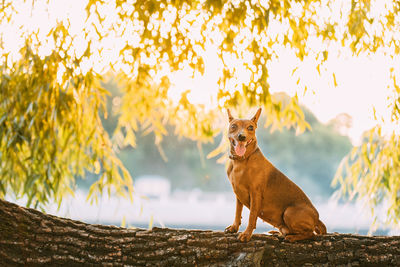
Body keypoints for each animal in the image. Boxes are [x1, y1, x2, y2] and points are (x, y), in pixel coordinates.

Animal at [223, 108, 326, 243]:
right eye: (233, 126)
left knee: (311, 234)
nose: (242, 136)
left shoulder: (255, 194)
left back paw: (292, 238)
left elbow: (252, 216)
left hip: (289, 212)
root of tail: (317, 218)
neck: (241, 161)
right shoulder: (238, 194)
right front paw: (234, 228)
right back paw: (278, 232)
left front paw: (247, 234)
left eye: (250, 127)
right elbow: (237, 213)